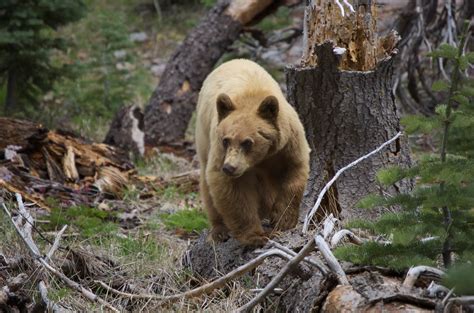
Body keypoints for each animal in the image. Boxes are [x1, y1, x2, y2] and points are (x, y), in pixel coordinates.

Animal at [194, 58, 310, 244]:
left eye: (247, 142)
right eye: (226, 140)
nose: (229, 167)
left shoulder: (288, 144)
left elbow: (294, 172)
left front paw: (283, 219)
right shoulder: (220, 148)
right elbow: (233, 191)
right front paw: (256, 235)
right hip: (204, 137)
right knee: (207, 184)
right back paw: (219, 230)